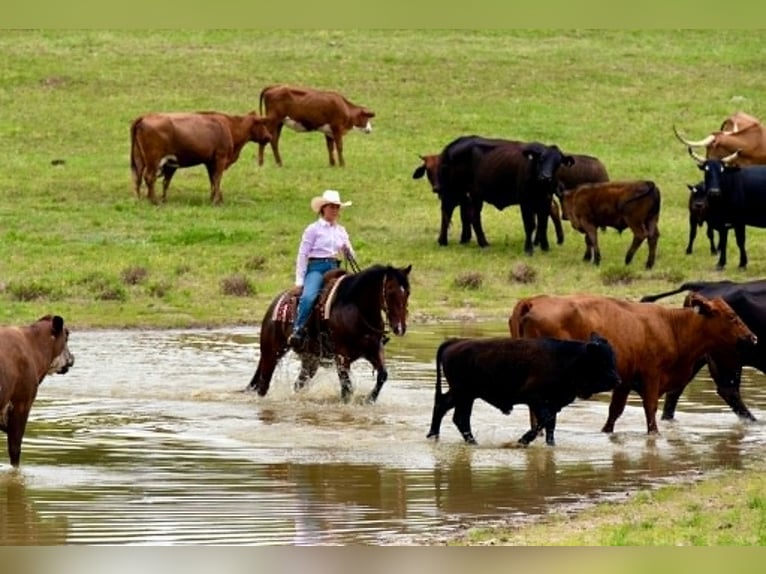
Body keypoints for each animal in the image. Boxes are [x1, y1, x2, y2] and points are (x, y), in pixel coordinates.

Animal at [246, 263, 412, 403]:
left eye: (408, 292)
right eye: (390, 291)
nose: (400, 328)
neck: (355, 310)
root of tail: (275, 304)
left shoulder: (374, 350)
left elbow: (383, 375)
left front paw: (369, 399)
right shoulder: (341, 355)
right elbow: (347, 389)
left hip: (310, 361)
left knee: (298, 384)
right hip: (271, 353)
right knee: (263, 385)